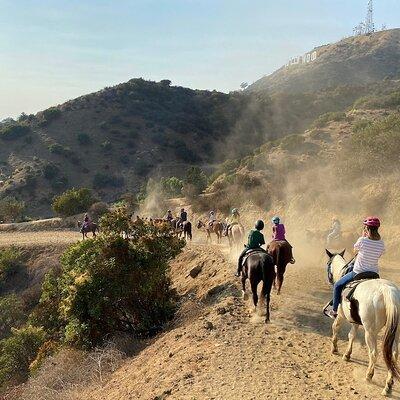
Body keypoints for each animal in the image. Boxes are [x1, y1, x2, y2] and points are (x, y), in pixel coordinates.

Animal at [324, 250, 400, 396]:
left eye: (328, 264)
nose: (330, 280)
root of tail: (387, 291)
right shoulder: (355, 321)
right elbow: (351, 335)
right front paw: (347, 355)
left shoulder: (341, 316)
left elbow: (335, 327)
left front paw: (334, 348)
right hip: (396, 332)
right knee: (393, 355)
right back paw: (388, 385)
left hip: (370, 332)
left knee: (374, 353)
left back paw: (369, 376)